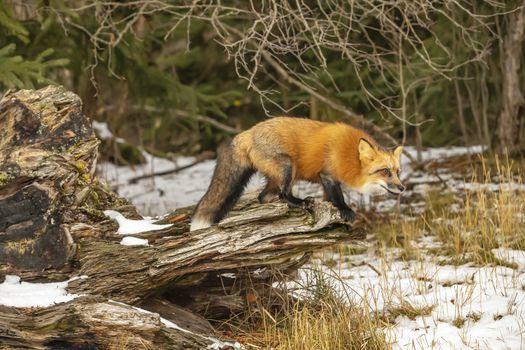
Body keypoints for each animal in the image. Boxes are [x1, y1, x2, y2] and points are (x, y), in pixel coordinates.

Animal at [190, 117, 404, 231]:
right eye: (385, 172)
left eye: (397, 172)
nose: (402, 188)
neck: (349, 155)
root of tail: (248, 132)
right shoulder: (327, 175)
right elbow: (338, 197)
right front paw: (344, 210)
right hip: (287, 167)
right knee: (283, 194)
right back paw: (299, 203)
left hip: (282, 175)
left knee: (263, 197)